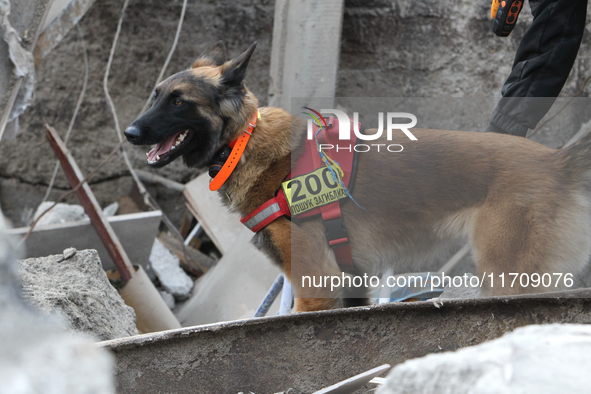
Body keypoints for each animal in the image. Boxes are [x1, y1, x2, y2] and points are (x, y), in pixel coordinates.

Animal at [125, 41, 591, 312]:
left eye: (179, 101)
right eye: (155, 95)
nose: (129, 132)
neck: (244, 139)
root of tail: (558, 161)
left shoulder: (314, 285)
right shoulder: (350, 282)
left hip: (509, 279)